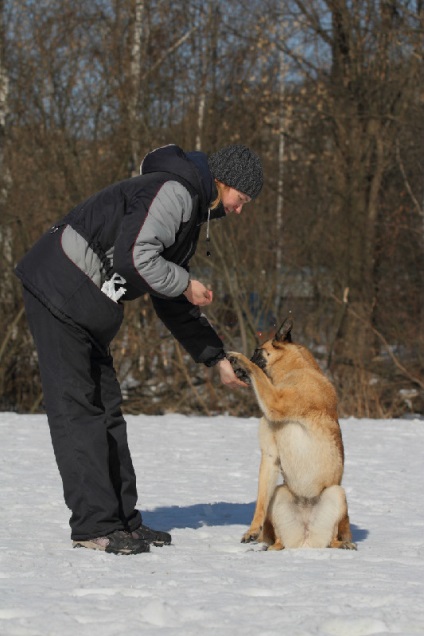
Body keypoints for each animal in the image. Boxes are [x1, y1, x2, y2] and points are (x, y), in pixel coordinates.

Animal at [227, 318, 356, 552]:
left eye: (257, 351)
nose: (233, 369)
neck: (295, 367)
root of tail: (305, 538)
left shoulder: (275, 400)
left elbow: (257, 372)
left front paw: (239, 358)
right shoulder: (270, 457)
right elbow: (260, 501)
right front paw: (253, 530)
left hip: (336, 493)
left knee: (332, 538)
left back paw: (342, 544)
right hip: (279, 493)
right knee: (279, 537)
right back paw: (271, 547)